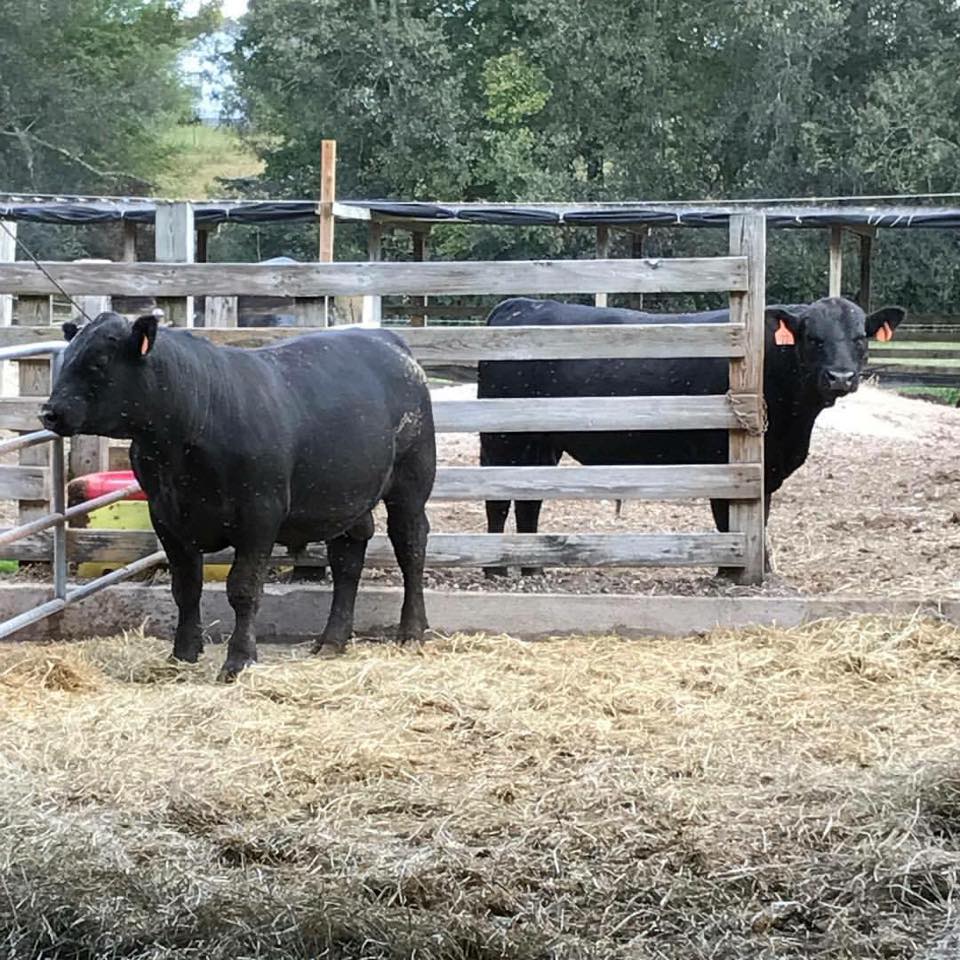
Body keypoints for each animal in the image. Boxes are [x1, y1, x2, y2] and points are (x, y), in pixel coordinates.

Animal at [41, 312, 436, 680]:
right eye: (68, 357)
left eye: (99, 361)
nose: (49, 412)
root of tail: (385, 339)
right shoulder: (166, 517)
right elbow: (186, 587)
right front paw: (183, 654)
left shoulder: (259, 515)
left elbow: (243, 588)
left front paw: (239, 660)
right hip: (346, 495)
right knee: (348, 557)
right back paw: (332, 640)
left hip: (411, 483)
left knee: (410, 548)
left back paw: (412, 631)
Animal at [480, 296, 908, 572]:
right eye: (812, 337)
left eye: (860, 337)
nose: (841, 377)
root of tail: (518, 304)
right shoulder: (724, 462)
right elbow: (728, 521)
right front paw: (730, 572)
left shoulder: (765, 472)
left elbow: (760, 520)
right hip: (501, 440)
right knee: (497, 501)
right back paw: (495, 569)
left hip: (540, 443)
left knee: (529, 501)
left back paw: (533, 567)